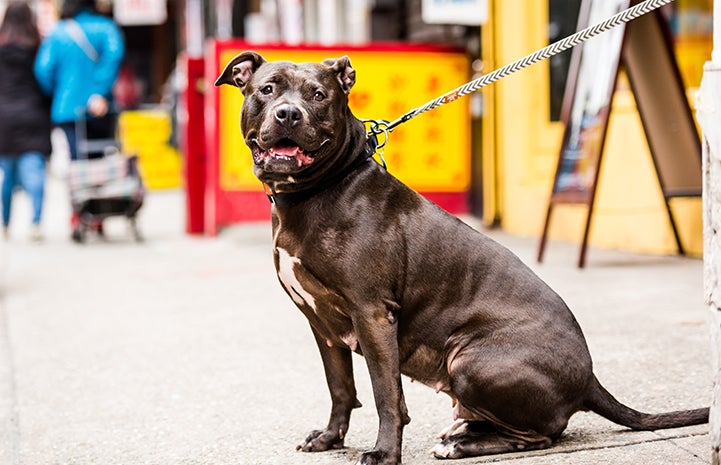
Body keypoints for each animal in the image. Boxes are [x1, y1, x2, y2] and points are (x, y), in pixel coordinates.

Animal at [215, 51, 708, 464]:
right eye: (267, 89)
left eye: (319, 95)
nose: (288, 113)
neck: (316, 190)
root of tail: (588, 379)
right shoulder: (322, 325)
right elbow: (341, 387)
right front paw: (331, 438)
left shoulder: (372, 313)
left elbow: (385, 394)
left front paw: (384, 453)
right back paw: (464, 432)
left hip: (470, 360)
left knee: (542, 435)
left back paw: (464, 443)